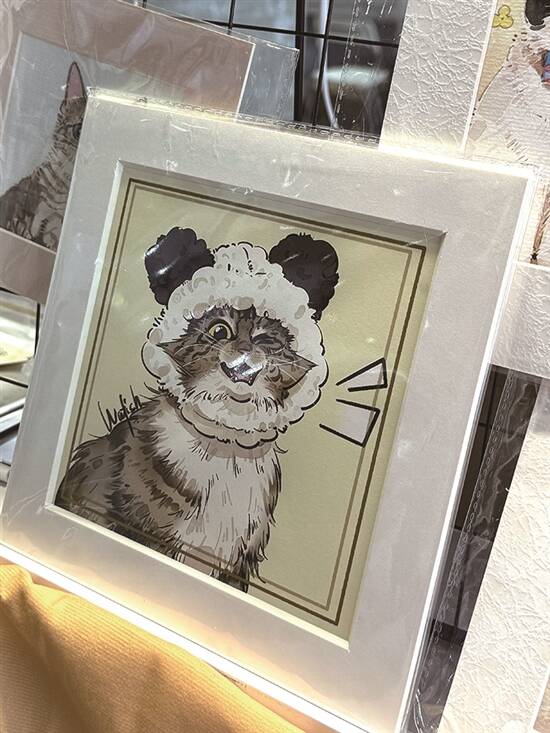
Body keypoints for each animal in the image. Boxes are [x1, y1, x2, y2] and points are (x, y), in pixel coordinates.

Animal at [56, 228, 339, 591]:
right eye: (220, 329)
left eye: (267, 340)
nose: (244, 358)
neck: (225, 446)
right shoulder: (145, 532)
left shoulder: (237, 563)